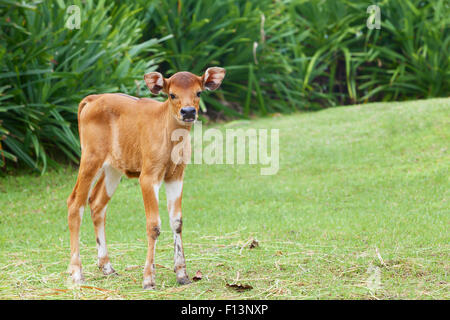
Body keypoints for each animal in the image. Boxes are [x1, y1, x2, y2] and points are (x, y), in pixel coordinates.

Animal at [67, 66, 227, 288]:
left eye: (199, 92)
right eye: (172, 94)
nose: (188, 112)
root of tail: (91, 100)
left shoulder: (176, 174)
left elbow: (177, 221)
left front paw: (182, 274)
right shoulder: (148, 175)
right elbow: (154, 225)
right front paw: (148, 278)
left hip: (113, 167)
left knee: (97, 203)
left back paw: (107, 267)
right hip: (90, 157)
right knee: (75, 203)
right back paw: (76, 273)